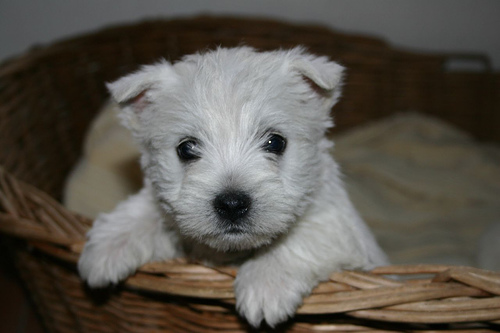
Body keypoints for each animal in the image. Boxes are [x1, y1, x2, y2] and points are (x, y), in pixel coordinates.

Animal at [78, 46, 388, 326]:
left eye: (276, 142)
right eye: (186, 148)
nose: (232, 204)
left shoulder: (337, 224)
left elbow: (309, 233)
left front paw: (265, 283)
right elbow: (147, 210)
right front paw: (106, 248)